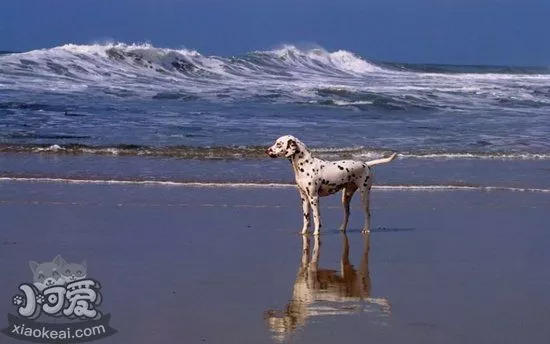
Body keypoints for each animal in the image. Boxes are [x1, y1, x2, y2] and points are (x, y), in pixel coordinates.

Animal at [266, 136, 398, 235]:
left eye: (279, 144)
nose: (267, 150)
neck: (306, 165)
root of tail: (365, 164)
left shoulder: (314, 198)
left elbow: (316, 218)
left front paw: (316, 233)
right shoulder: (304, 198)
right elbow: (306, 218)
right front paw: (303, 233)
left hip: (364, 195)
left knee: (367, 214)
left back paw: (366, 230)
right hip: (345, 197)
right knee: (347, 214)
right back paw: (342, 229)